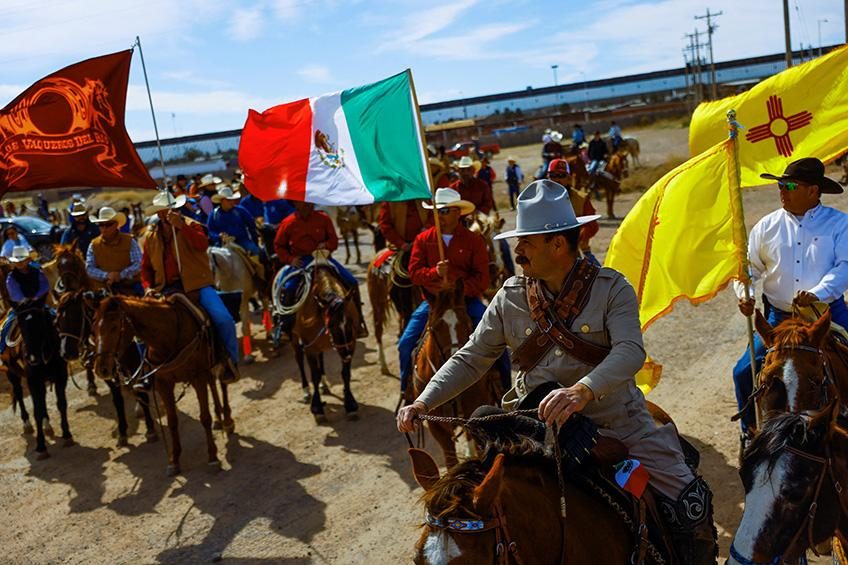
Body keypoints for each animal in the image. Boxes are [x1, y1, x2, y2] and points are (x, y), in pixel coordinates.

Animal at [92, 296, 235, 476]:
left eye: (114, 326)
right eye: (94, 329)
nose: (101, 368)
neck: (168, 338)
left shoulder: (198, 378)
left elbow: (204, 417)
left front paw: (212, 457)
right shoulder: (164, 384)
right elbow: (172, 421)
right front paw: (174, 460)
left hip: (219, 362)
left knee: (222, 385)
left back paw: (227, 421)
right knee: (213, 387)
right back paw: (219, 418)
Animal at [292, 262, 362, 420]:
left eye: (350, 322)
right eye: (332, 325)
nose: (347, 355)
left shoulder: (352, 343)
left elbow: (345, 373)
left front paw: (350, 403)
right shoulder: (310, 347)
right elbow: (314, 375)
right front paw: (317, 407)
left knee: (321, 358)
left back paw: (324, 384)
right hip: (294, 338)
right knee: (299, 359)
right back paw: (306, 390)